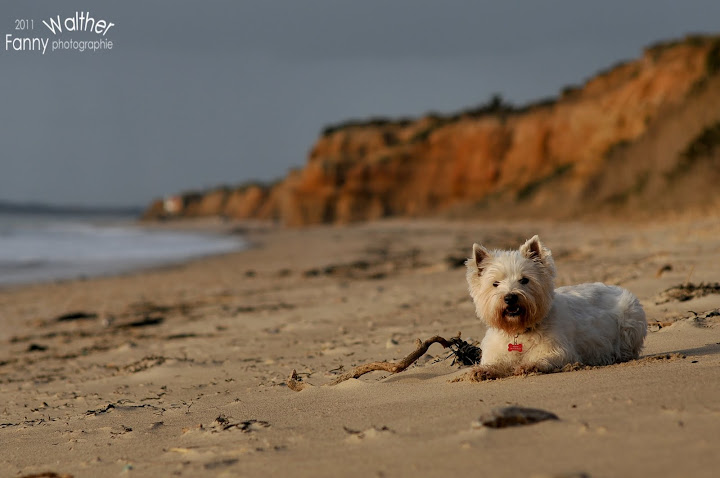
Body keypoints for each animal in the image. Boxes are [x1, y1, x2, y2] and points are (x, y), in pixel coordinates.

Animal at [466, 235, 648, 378]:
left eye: (524, 280)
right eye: (495, 283)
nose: (510, 297)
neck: (518, 330)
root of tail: (616, 287)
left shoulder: (561, 350)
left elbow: (544, 358)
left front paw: (529, 365)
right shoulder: (496, 353)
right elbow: (496, 363)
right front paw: (482, 370)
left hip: (630, 321)